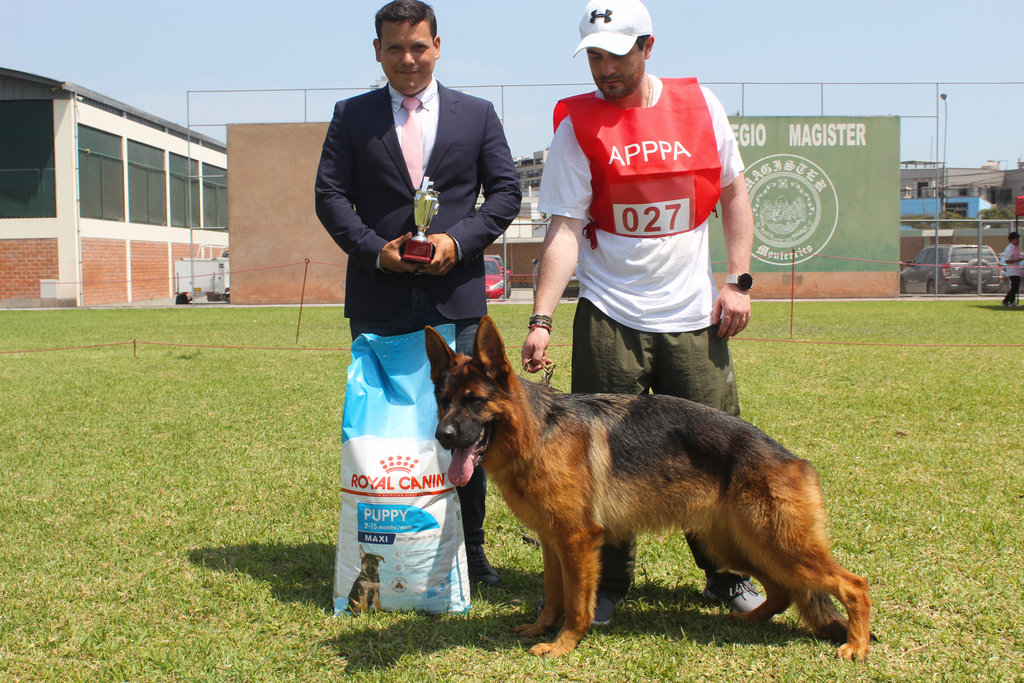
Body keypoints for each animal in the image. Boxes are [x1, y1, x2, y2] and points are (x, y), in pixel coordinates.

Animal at [424, 316, 871, 661]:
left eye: (474, 400)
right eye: (443, 399)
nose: (442, 436)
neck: (536, 433)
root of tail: (793, 459)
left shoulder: (577, 542)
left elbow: (576, 603)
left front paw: (564, 645)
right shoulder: (553, 541)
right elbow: (553, 594)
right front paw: (541, 628)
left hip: (777, 545)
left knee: (855, 585)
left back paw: (856, 646)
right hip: (737, 546)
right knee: (782, 591)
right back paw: (749, 619)